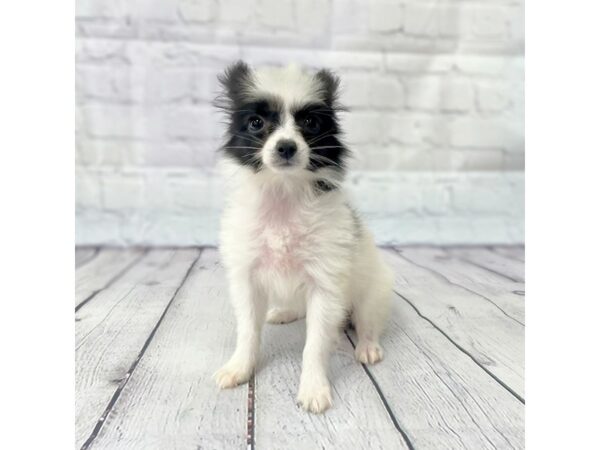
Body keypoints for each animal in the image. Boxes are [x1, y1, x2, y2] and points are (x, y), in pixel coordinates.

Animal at [212, 61, 394, 414]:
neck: (284, 193)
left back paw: (367, 346)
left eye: (310, 123)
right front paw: (239, 368)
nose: (286, 146)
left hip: (373, 292)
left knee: (368, 321)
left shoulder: (325, 285)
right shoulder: (247, 278)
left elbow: (315, 344)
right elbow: (247, 332)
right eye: (256, 123)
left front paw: (313, 389)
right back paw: (284, 312)